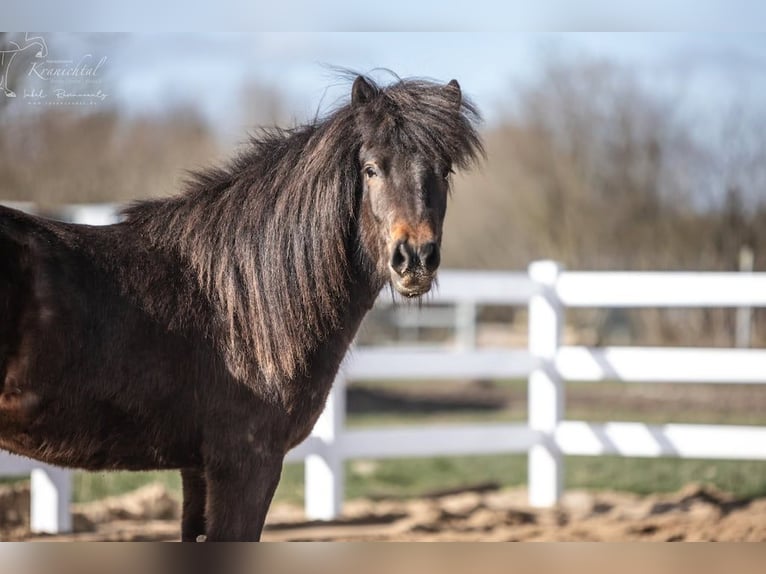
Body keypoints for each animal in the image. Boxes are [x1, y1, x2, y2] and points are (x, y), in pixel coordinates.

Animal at [0, 75, 483, 541]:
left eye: (443, 170)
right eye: (370, 169)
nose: (414, 258)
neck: (240, 304)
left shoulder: (197, 468)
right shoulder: (247, 465)